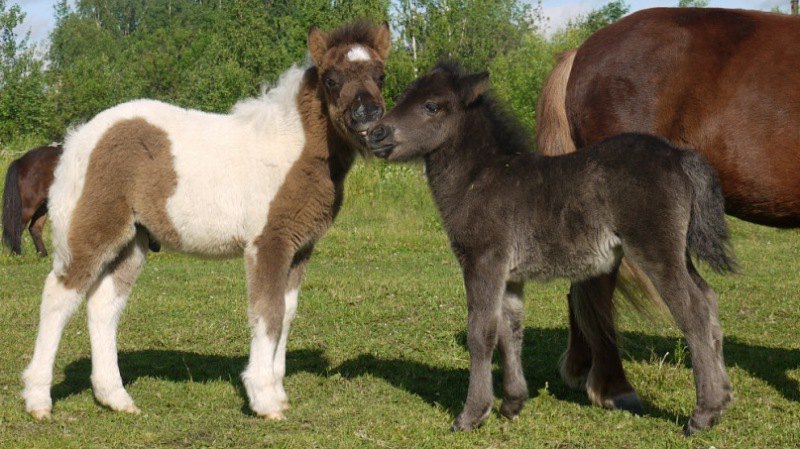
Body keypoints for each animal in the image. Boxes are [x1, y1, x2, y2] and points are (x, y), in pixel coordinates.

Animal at [20, 20, 390, 420]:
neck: (294, 149)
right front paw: (264, 398)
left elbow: (287, 312)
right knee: (58, 296)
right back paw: (38, 399)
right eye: (331, 79)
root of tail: (76, 139)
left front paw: (278, 391)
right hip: (93, 229)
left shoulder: (300, 247)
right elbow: (268, 311)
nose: (368, 115)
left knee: (103, 306)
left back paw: (115, 397)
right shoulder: (267, 243)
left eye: (381, 76)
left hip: (132, 241)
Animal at [366, 61, 736, 432]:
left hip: (656, 249)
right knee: (708, 299)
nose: (375, 133)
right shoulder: (509, 275)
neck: (480, 179)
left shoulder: (483, 262)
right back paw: (723, 399)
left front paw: (472, 414)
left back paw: (703, 414)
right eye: (404, 96)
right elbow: (510, 331)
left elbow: (481, 333)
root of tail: (679, 156)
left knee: (693, 310)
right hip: (678, 251)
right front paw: (512, 403)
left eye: (431, 106)